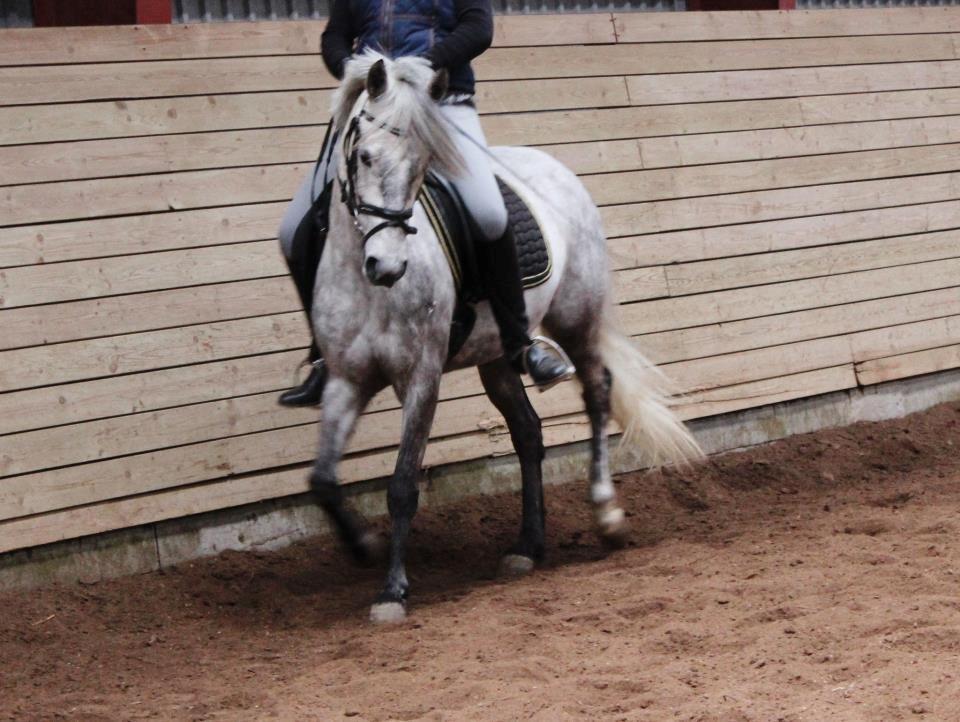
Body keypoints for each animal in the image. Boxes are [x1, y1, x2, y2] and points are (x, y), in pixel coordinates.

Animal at [310, 53, 704, 620]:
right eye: (363, 156)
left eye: (422, 166)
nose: (387, 267)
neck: (371, 290)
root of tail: (555, 168)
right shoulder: (346, 378)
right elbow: (322, 480)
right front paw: (363, 546)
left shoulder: (421, 378)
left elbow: (403, 484)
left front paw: (392, 591)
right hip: (495, 355)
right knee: (527, 432)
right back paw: (526, 546)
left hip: (575, 319)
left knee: (598, 393)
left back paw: (605, 513)